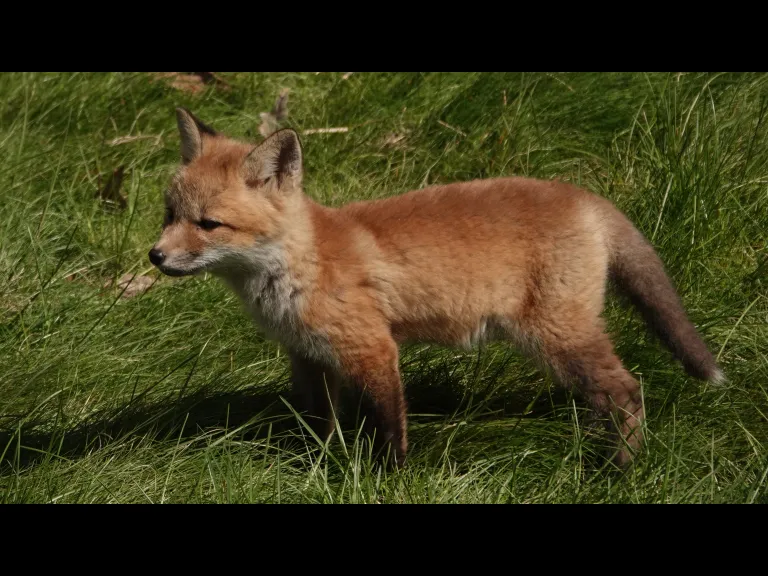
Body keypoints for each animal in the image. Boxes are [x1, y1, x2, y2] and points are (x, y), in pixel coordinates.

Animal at [149, 107, 724, 468]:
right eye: (169, 214)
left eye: (209, 224)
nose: (154, 256)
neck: (299, 265)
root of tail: (583, 196)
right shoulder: (308, 356)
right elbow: (318, 426)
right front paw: (315, 466)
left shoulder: (372, 350)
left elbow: (387, 430)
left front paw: (387, 479)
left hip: (558, 336)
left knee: (626, 391)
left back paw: (620, 470)